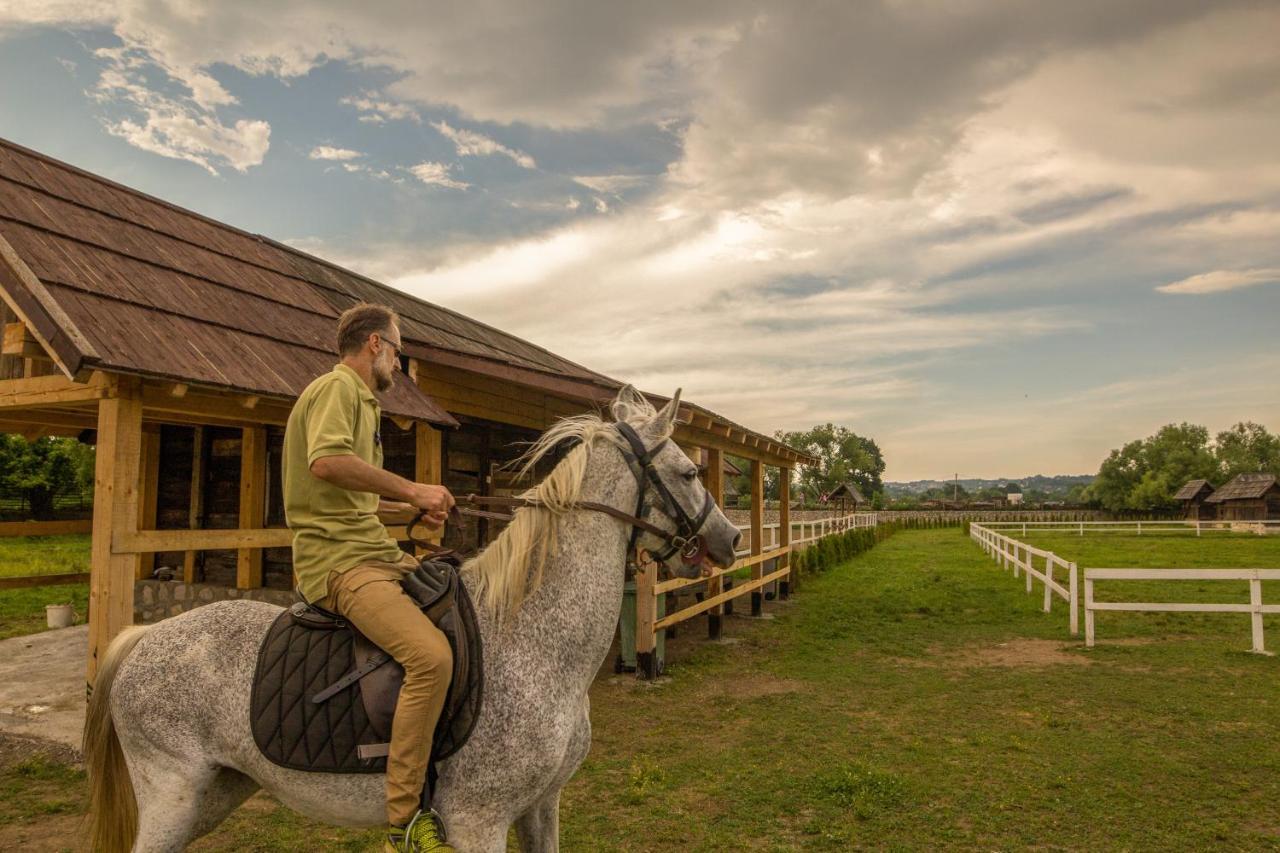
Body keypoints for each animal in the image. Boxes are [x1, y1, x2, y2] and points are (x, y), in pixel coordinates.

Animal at [85, 389, 742, 845]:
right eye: (689, 471)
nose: (731, 538)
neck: (533, 642)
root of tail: (144, 637)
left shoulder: (541, 806)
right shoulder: (478, 821)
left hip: (214, 794)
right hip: (171, 798)